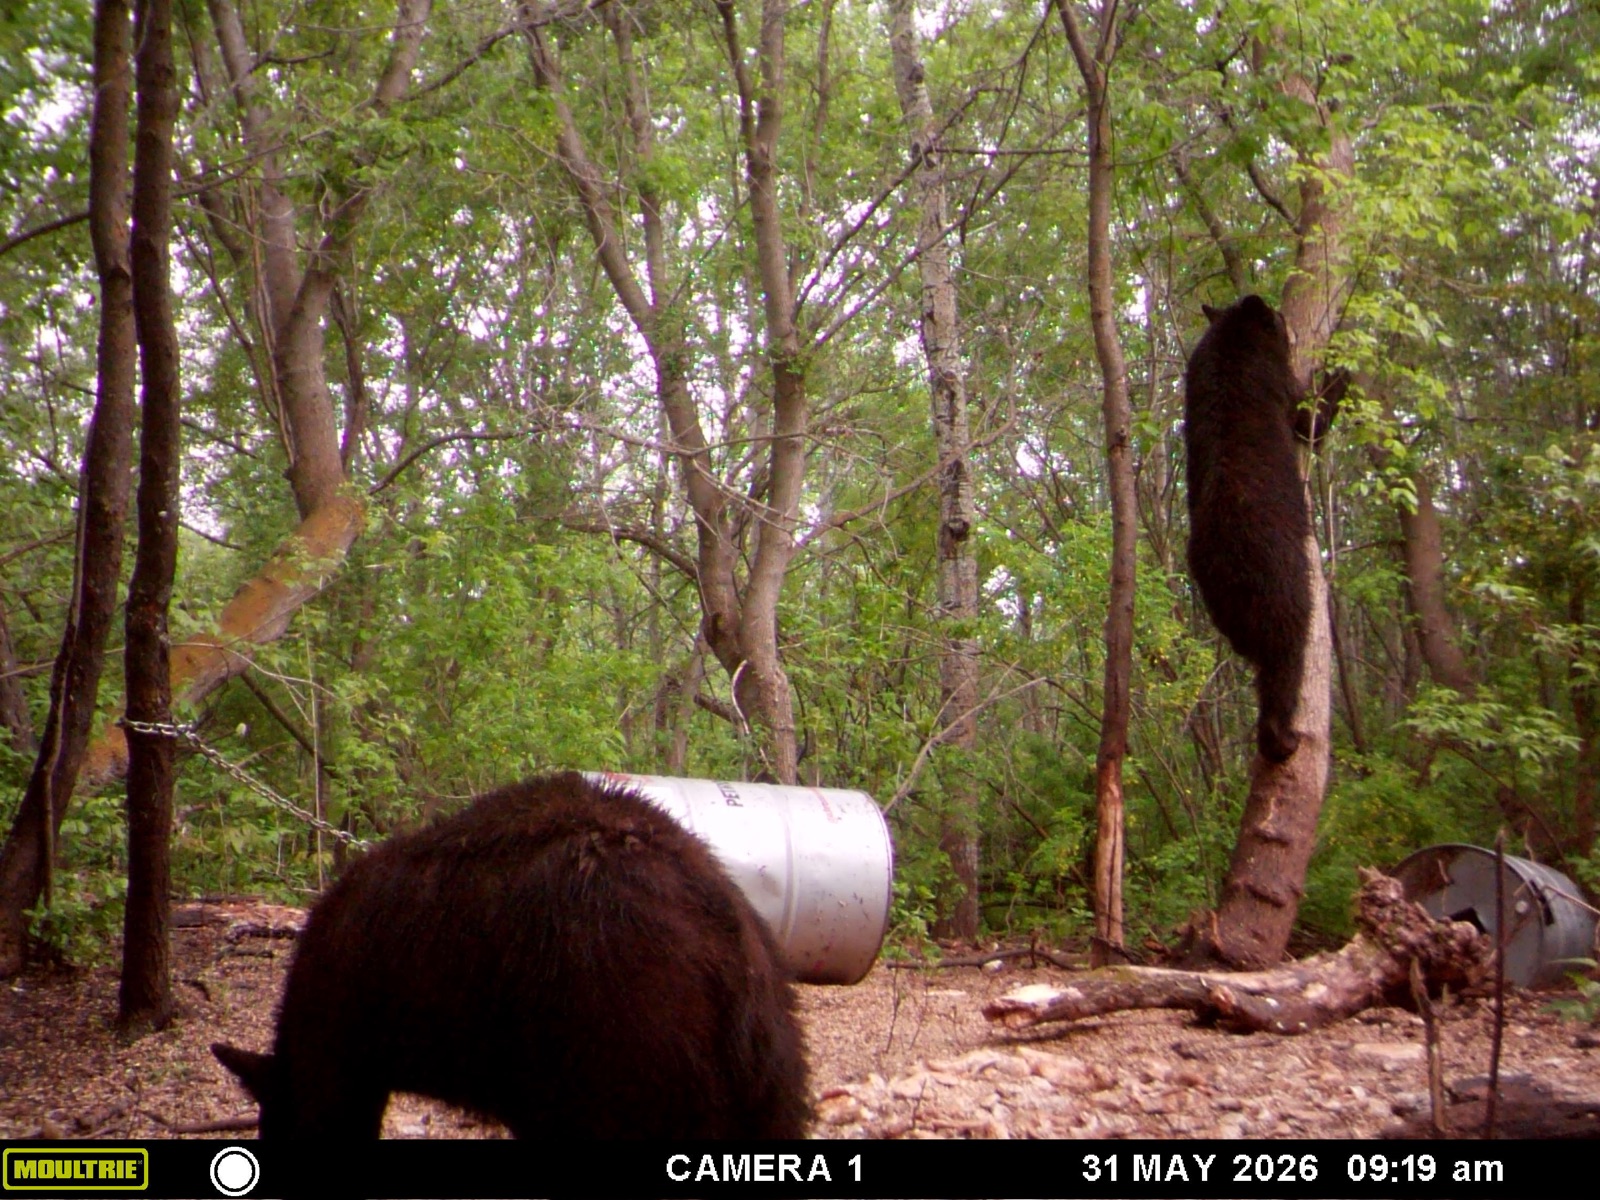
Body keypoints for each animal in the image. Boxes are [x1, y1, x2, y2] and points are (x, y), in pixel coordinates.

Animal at [1183, 294, 1341, 763]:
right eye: (1280, 317)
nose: (1286, 319)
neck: (1228, 340)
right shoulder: (1275, 378)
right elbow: (1310, 423)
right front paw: (1342, 375)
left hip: (1223, 608)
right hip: (1281, 582)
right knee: (1285, 658)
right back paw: (1282, 737)